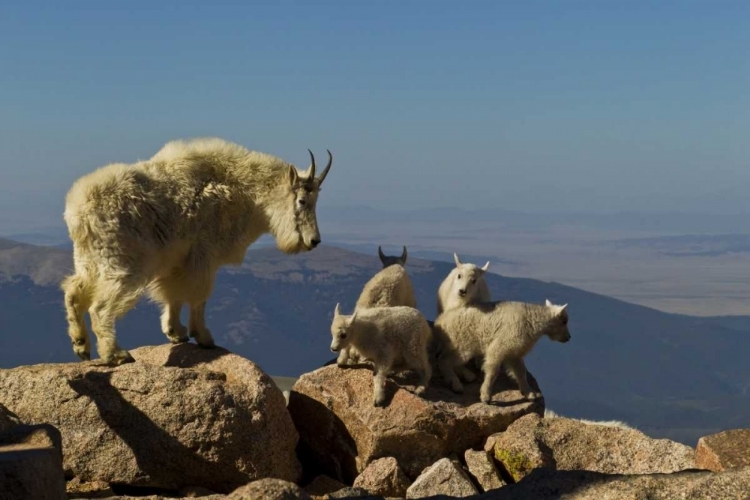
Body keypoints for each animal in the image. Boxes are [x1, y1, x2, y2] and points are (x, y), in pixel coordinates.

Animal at [60, 137, 336, 364]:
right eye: (302, 201)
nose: (314, 241)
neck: (243, 191)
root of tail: (78, 212)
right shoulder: (204, 255)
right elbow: (199, 296)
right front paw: (203, 337)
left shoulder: (176, 260)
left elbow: (174, 295)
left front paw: (176, 332)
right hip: (124, 262)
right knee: (100, 307)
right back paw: (114, 354)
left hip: (89, 259)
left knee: (73, 291)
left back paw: (80, 345)